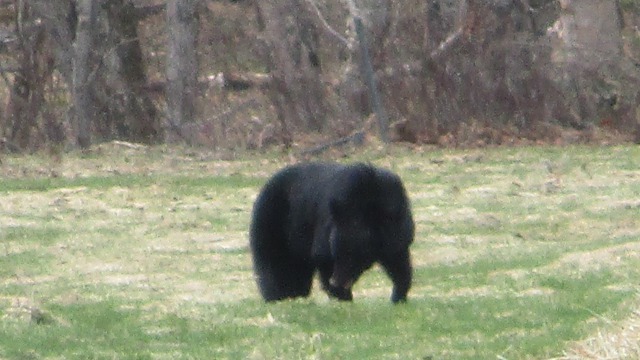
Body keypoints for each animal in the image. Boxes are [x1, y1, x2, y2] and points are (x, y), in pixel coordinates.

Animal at [248, 163, 412, 304]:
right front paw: (342, 296)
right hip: (273, 224)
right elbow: (323, 255)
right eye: (337, 252)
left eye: (355, 255)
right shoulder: (327, 225)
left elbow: (398, 260)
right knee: (274, 267)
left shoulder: (397, 228)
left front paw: (399, 295)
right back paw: (279, 296)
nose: (336, 281)